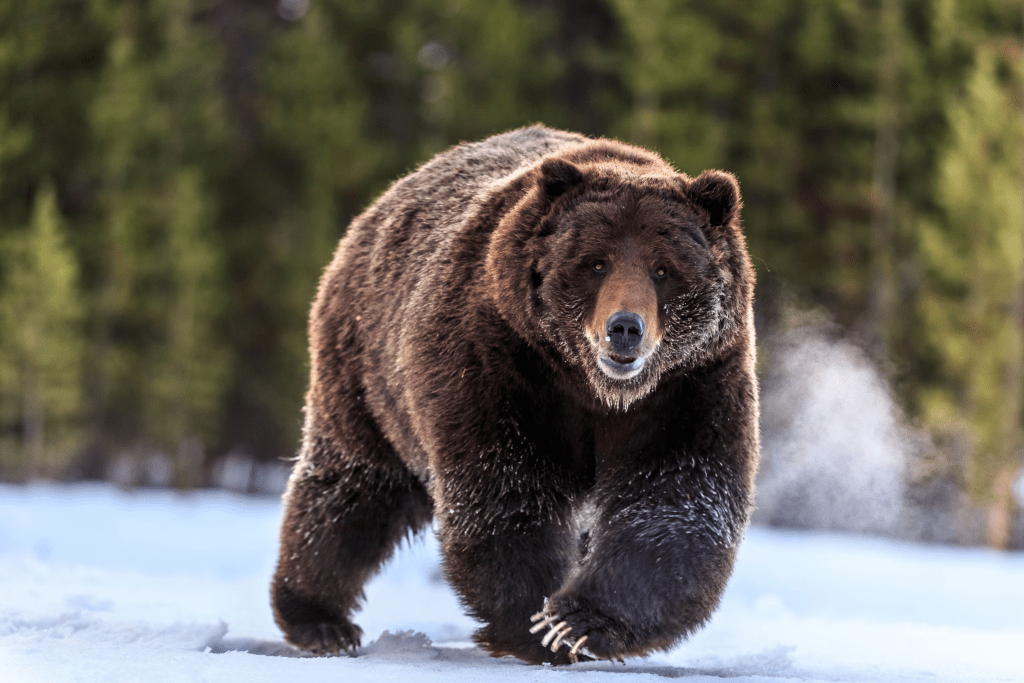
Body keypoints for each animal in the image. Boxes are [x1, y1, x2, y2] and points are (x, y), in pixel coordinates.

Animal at [270, 125, 759, 665]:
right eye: (596, 263)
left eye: (663, 269)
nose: (625, 328)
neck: (597, 391)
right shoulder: (500, 362)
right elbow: (506, 488)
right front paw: (535, 620)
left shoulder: (689, 386)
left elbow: (675, 500)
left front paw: (576, 622)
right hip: (367, 370)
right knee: (353, 488)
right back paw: (319, 619)